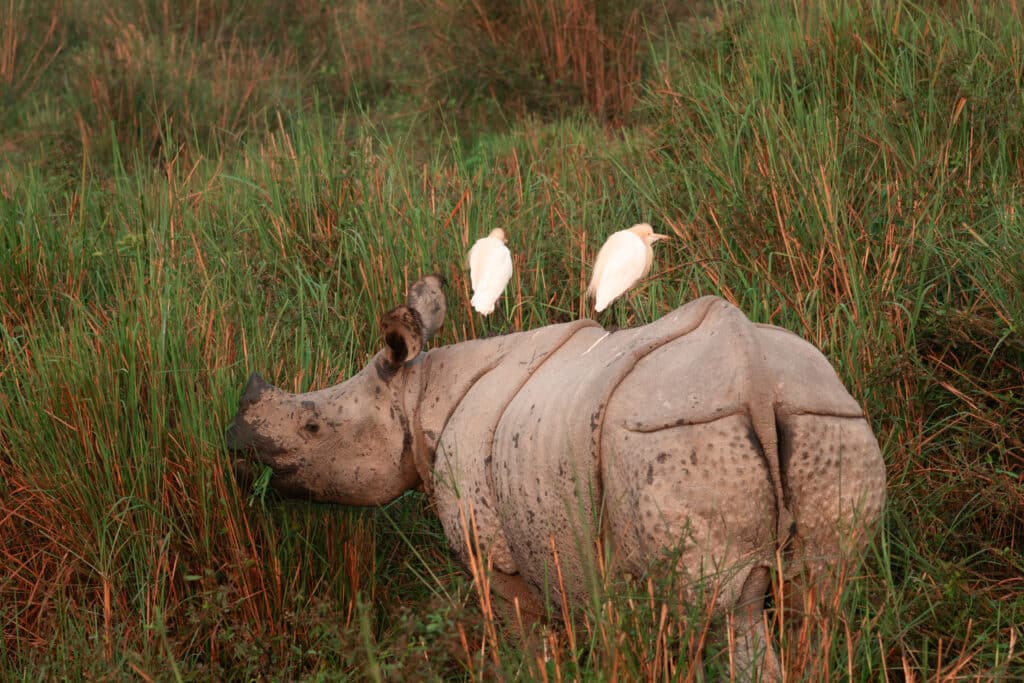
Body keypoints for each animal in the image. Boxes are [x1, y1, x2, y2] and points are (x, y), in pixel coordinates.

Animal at [226, 275, 886, 680]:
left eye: (313, 428)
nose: (233, 445)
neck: (417, 394)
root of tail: (753, 375)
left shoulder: (498, 559)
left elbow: (528, 646)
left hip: (678, 434)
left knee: (718, 615)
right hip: (827, 419)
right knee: (819, 602)